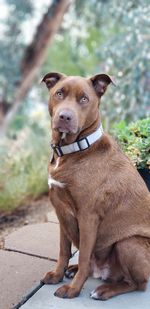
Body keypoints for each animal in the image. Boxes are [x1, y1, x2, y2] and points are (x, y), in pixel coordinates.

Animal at [41, 71, 150, 298]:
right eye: (59, 93)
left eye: (84, 99)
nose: (64, 117)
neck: (75, 150)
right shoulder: (61, 213)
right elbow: (63, 251)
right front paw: (57, 275)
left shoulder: (88, 217)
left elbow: (82, 256)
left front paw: (73, 290)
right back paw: (73, 271)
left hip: (128, 243)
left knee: (137, 284)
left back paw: (104, 291)